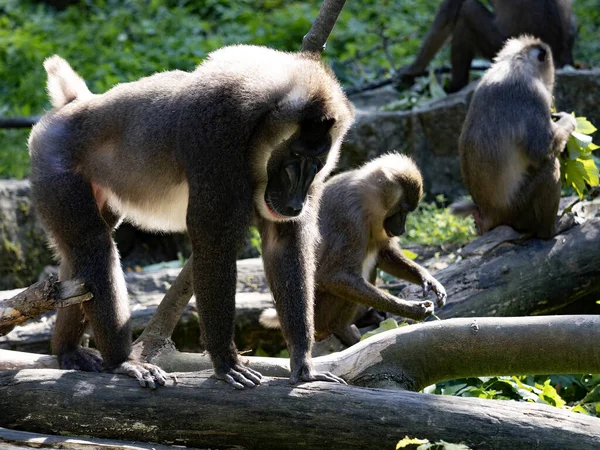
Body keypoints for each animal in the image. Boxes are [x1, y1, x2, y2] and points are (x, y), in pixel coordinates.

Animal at [28, 46, 354, 390]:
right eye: (294, 156)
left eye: (316, 162)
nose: (294, 203)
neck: (259, 127)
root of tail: (74, 104)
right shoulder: (216, 136)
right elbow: (213, 243)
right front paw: (226, 362)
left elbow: (284, 241)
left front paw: (303, 363)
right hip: (55, 164)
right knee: (94, 249)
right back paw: (121, 362)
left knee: (73, 261)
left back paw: (67, 350)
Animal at [260, 153, 448, 346]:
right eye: (402, 211)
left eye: (407, 212)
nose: (402, 229)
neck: (364, 195)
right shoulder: (350, 219)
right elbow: (337, 276)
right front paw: (413, 309)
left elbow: (384, 254)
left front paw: (428, 280)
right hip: (319, 315)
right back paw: (341, 330)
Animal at [458, 36, 580, 239]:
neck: (515, 62)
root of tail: (488, 213)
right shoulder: (533, 94)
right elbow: (541, 148)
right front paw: (567, 120)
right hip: (517, 211)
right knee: (550, 166)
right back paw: (550, 230)